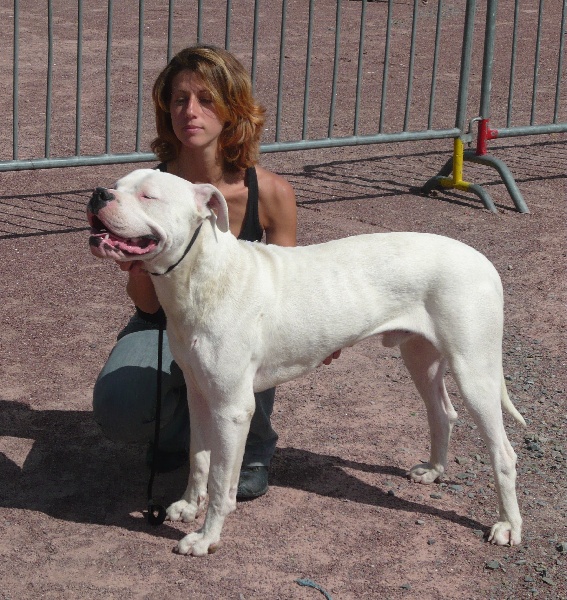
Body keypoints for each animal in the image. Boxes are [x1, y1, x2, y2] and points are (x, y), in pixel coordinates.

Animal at [87, 168, 525, 556]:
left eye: (148, 195)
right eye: (118, 184)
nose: (99, 193)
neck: (202, 277)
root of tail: (484, 262)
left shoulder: (231, 408)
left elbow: (221, 483)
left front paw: (205, 538)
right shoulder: (199, 393)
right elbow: (198, 458)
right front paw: (187, 506)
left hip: (475, 371)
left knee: (503, 452)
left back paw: (507, 525)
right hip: (420, 358)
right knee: (442, 413)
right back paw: (433, 470)